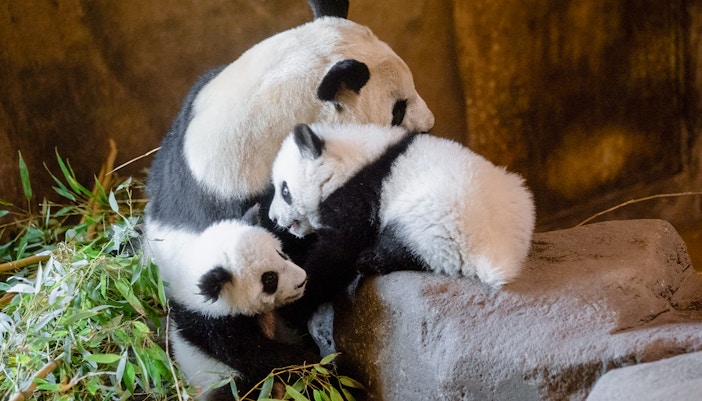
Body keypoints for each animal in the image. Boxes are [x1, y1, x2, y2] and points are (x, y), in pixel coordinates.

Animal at [163, 205, 319, 400]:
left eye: (281, 254)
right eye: (270, 279)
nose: (302, 281)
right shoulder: (216, 330)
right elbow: (256, 356)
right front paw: (309, 360)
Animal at [267, 123, 536, 299]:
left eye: (285, 190)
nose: (273, 217)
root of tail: (494, 251)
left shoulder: (359, 195)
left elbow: (340, 248)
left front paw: (306, 281)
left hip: (434, 219)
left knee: (402, 246)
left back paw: (369, 260)